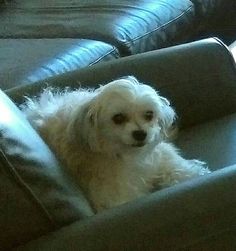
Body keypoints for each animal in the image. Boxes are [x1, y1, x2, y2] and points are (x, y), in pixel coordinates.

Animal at [21, 76, 210, 212]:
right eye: (118, 118)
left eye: (149, 114)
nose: (140, 133)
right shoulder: (114, 196)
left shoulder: (159, 159)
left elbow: (178, 167)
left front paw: (195, 173)